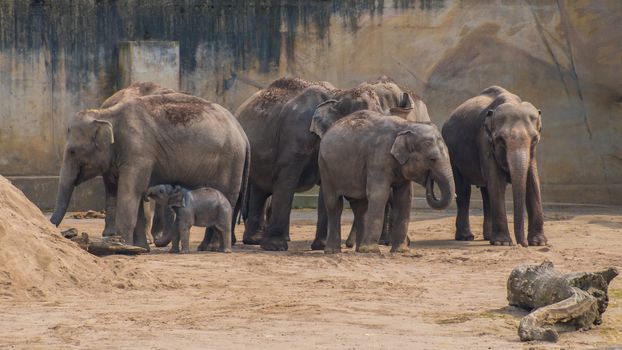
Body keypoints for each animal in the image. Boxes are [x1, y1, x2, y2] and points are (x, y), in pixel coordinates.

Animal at [50, 90, 251, 249]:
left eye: (72, 151)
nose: (69, 233)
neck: (107, 114)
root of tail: (242, 133)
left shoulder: (138, 151)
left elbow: (130, 192)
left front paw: (124, 246)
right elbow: (137, 196)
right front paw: (140, 248)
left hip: (230, 162)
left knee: (227, 198)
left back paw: (213, 248)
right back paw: (204, 247)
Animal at [320, 110, 456, 253]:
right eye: (432, 159)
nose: (430, 180)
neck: (406, 126)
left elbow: (404, 198)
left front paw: (401, 251)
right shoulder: (378, 158)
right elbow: (379, 194)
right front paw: (371, 251)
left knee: (360, 206)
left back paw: (359, 249)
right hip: (325, 168)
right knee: (334, 204)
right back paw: (333, 251)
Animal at [444, 86, 544, 247]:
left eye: (535, 139)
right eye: (500, 140)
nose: (522, 244)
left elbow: (533, 181)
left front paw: (538, 243)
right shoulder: (484, 142)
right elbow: (497, 181)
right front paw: (502, 243)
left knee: (486, 193)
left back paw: (488, 236)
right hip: (452, 154)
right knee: (463, 190)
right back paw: (465, 237)